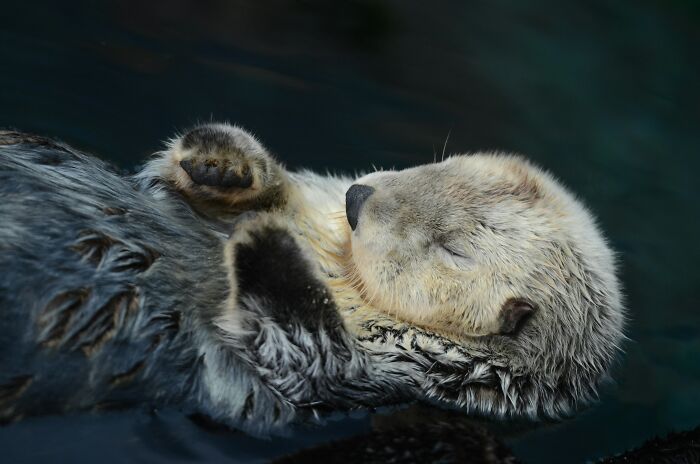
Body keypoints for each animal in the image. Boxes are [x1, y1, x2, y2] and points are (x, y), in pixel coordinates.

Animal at [0, 125, 624, 433]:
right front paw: (222, 158)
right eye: (439, 165)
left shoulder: (384, 374)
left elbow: (296, 354)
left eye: (454, 249)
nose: (358, 197)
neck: (340, 265)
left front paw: (268, 245)